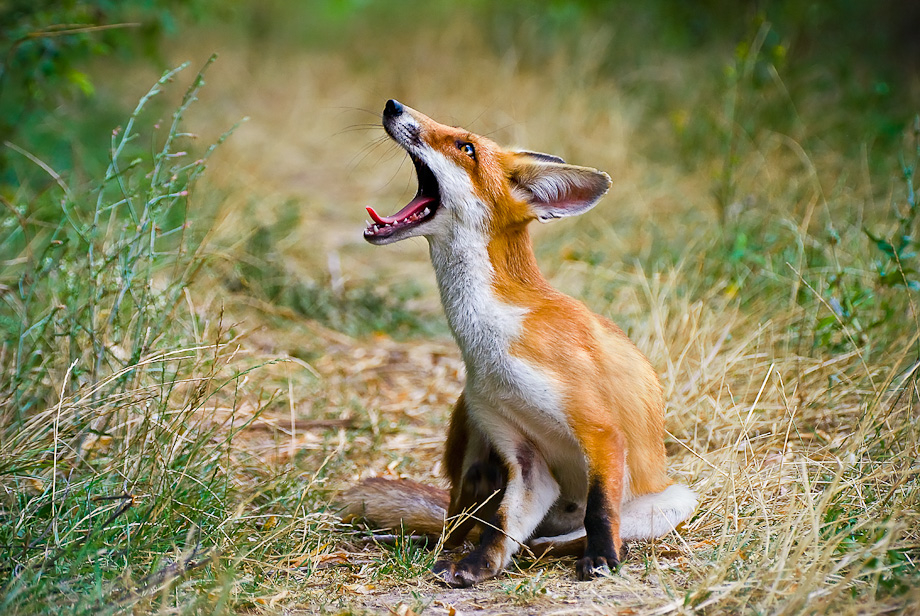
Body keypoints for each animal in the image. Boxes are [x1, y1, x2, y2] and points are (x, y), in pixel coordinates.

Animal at [344, 100, 696, 588]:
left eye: (466, 147)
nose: (393, 105)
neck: (489, 342)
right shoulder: (524, 458)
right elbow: (501, 527)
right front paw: (478, 564)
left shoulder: (599, 430)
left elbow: (599, 511)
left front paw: (602, 557)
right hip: (468, 433)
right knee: (462, 523)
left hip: (675, 499)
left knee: (556, 536)